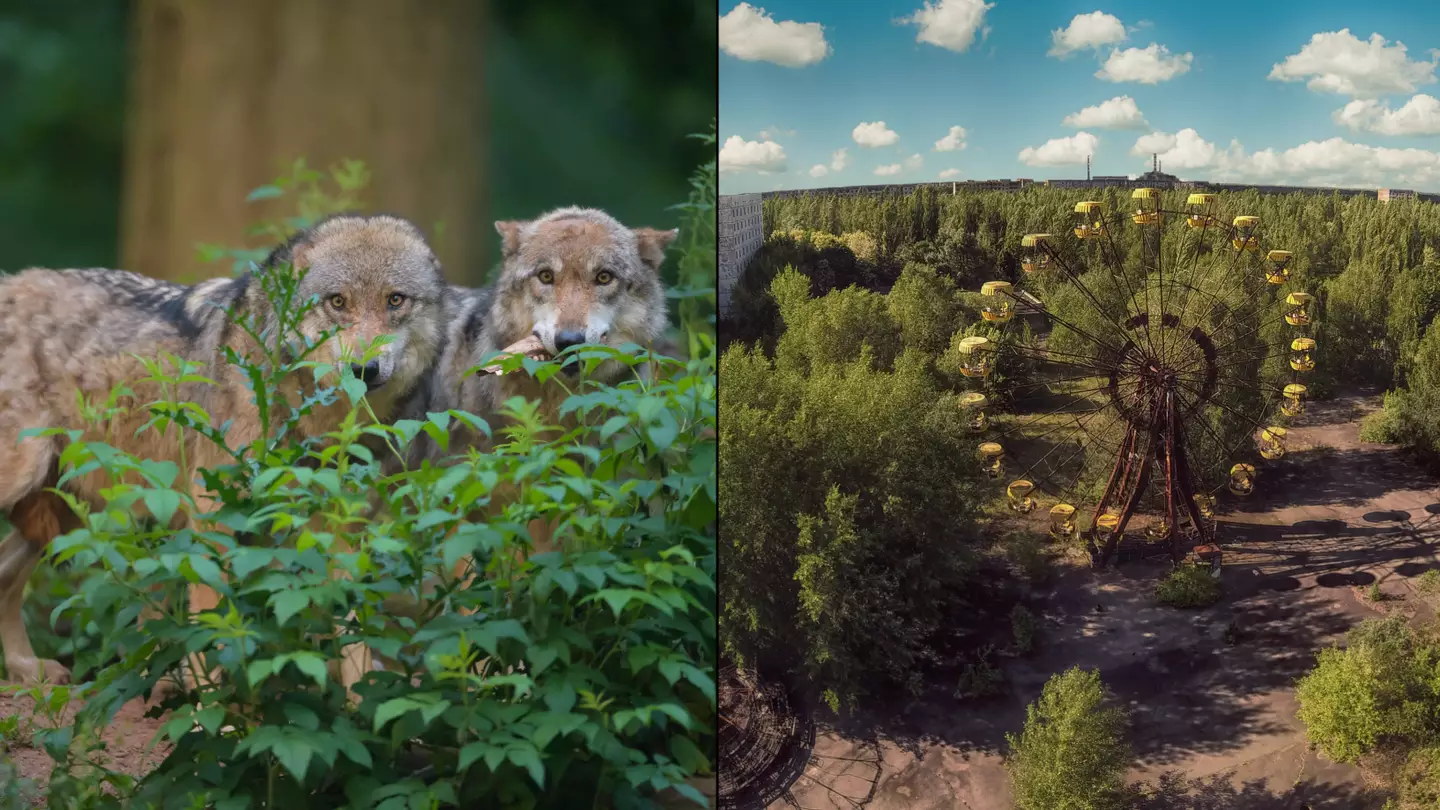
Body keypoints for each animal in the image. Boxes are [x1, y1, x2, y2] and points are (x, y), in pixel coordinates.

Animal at [0, 213, 447, 685]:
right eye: (338, 302)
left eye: (395, 300)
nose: (364, 368)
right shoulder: (213, 514)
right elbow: (211, 633)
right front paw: (210, 705)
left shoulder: (339, 523)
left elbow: (355, 639)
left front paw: (362, 702)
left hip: (65, 512)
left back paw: (26, 668)